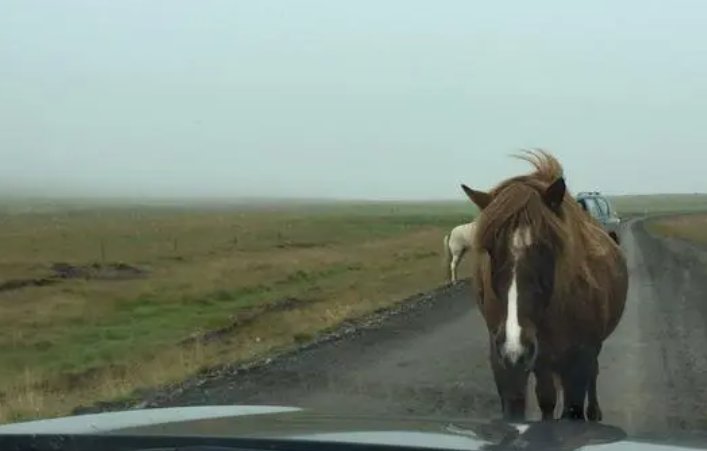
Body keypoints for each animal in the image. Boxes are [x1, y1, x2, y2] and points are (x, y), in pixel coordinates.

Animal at [461, 150, 628, 422]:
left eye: (546, 246)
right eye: (490, 249)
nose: (516, 346)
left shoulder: (578, 360)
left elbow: (573, 404)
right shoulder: (506, 364)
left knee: (591, 375)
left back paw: (594, 412)